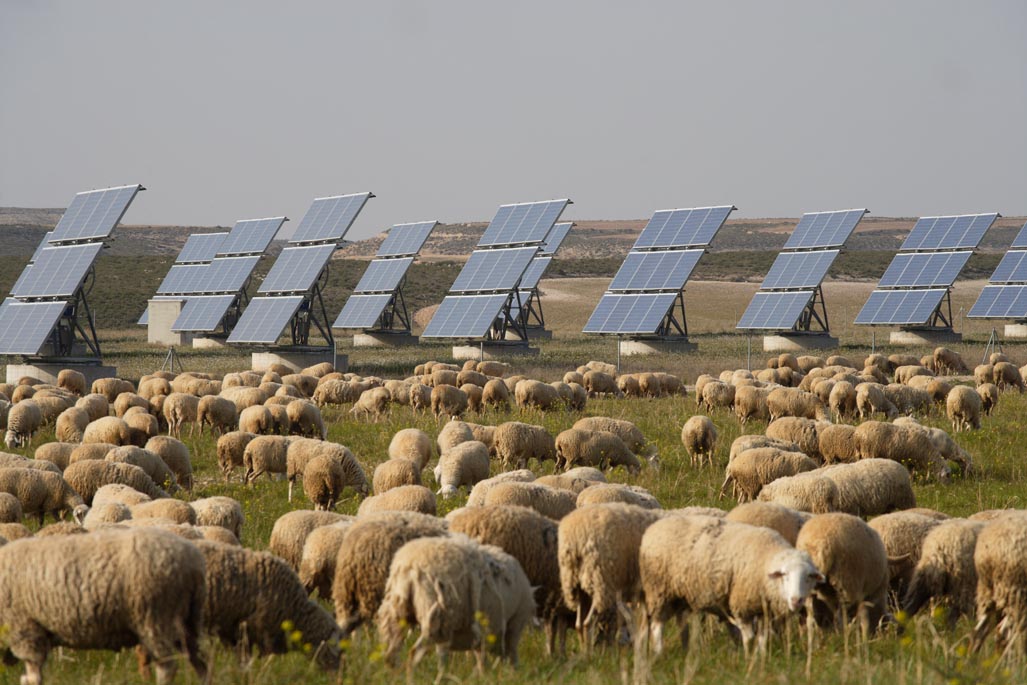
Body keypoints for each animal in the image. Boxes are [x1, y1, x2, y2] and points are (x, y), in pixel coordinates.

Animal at [0, 527, 207, 685]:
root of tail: (193, 561)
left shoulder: (25, 629)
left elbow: (32, 677)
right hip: (186, 620)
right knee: (201, 661)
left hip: (155, 617)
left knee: (168, 667)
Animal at [377, 535, 535, 670]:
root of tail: (411, 567)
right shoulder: (512, 623)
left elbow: (482, 658)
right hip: (439, 618)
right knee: (419, 654)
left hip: (397, 613)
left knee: (391, 654)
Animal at [641, 515, 823, 654]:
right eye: (785, 575)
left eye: (809, 577)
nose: (796, 600)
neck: (766, 561)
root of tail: (654, 527)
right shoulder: (742, 604)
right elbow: (749, 637)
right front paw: (748, 657)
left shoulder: (764, 611)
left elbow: (763, 638)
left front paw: (761, 656)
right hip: (659, 590)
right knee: (657, 625)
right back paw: (659, 653)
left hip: (681, 595)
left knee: (682, 624)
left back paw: (686, 651)